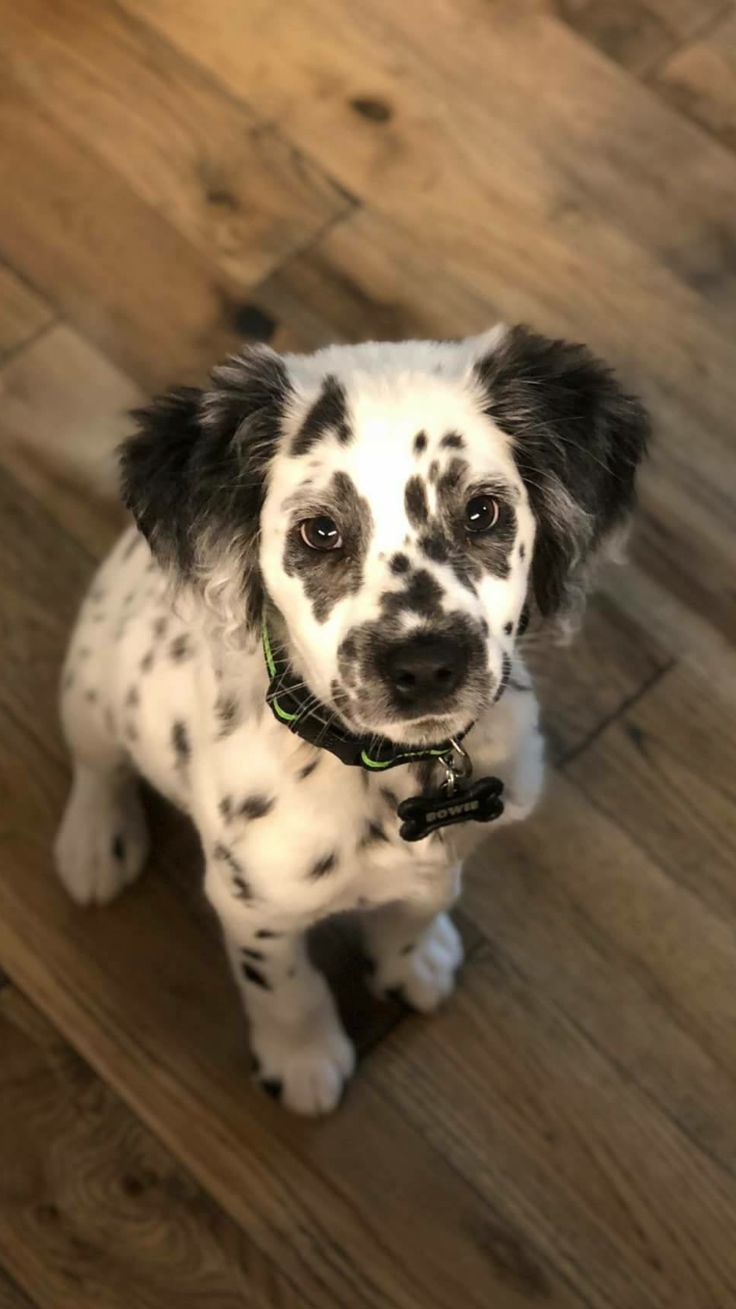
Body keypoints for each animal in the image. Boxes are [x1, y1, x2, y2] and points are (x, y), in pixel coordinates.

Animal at [54, 322, 644, 1110]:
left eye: (482, 512)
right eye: (320, 532)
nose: (425, 666)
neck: (388, 771)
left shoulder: (456, 845)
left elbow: (423, 902)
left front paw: (414, 958)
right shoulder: (252, 905)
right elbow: (283, 986)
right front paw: (303, 1059)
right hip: (93, 681)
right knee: (97, 764)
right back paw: (95, 842)